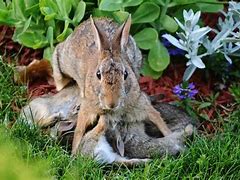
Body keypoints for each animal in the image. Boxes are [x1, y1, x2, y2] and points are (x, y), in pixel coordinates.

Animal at [52, 14, 172, 155]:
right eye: (98, 74)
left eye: (125, 74)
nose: (112, 103)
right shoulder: (88, 108)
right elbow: (79, 131)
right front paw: (74, 153)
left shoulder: (139, 103)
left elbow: (156, 117)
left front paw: (170, 135)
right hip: (62, 63)